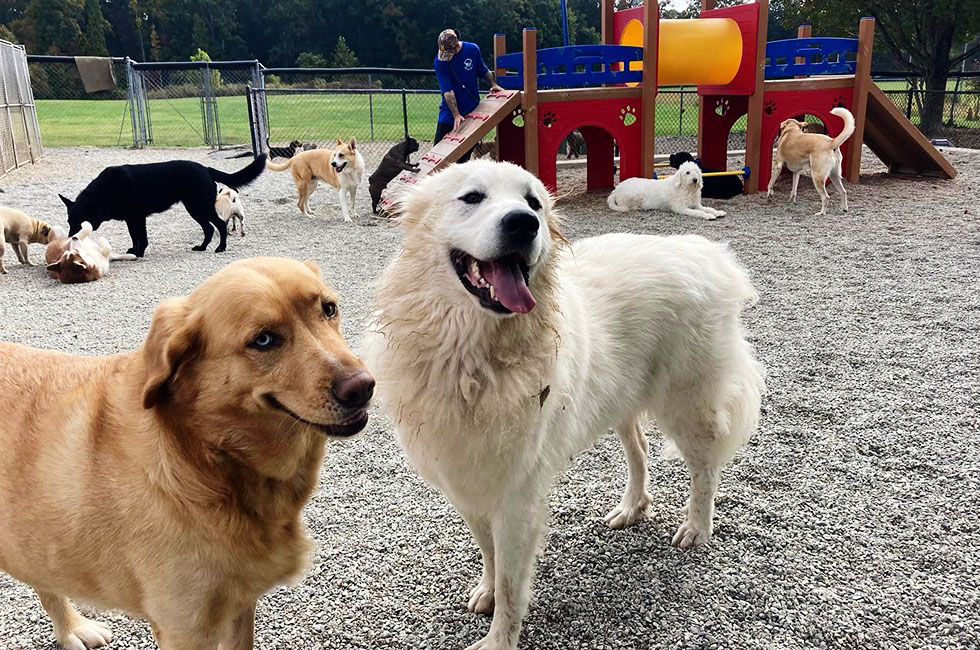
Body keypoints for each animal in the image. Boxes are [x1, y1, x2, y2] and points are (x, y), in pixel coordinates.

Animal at [0, 256, 374, 648]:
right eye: (263, 339)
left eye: (328, 309)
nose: (363, 388)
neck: (206, 458)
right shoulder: (184, 627)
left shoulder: (241, 603)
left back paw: (72, 627)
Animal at [61, 154, 268, 256]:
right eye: (69, 222)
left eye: (78, 223)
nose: (71, 238)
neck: (105, 192)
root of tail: (206, 169)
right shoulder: (131, 219)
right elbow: (134, 236)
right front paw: (135, 250)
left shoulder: (137, 218)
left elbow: (141, 237)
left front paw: (139, 253)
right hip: (195, 210)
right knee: (209, 229)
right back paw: (202, 247)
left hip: (200, 208)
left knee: (219, 225)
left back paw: (221, 248)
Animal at [366, 158, 764, 648]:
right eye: (472, 197)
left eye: (533, 202)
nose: (523, 223)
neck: (473, 360)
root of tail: (709, 254)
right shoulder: (468, 481)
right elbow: (488, 553)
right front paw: (486, 592)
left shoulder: (517, 495)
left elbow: (512, 582)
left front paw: (499, 638)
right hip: (620, 399)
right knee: (641, 451)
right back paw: (633, 508)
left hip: (686, 403)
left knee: (704, 469)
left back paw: (697, 528)